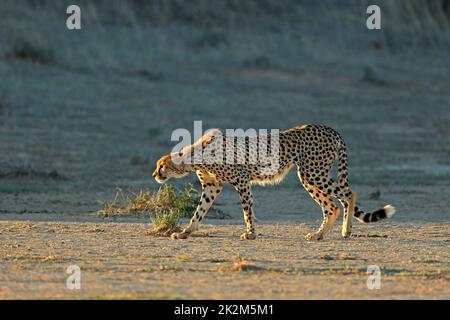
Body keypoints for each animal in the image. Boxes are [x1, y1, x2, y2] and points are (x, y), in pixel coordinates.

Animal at [153, 124, 396, 240]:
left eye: (161, 165)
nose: (155, 174)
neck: (196, 155)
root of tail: (330, 129)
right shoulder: (213, 186)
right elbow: (199, 212)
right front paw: (185, 232)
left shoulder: (242, 181)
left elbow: (247, 211)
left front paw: (251, 233)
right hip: (308, 176)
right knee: (332, 206)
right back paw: (318, 234)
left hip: (312, 173)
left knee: (348, 195)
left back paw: (345, 231)